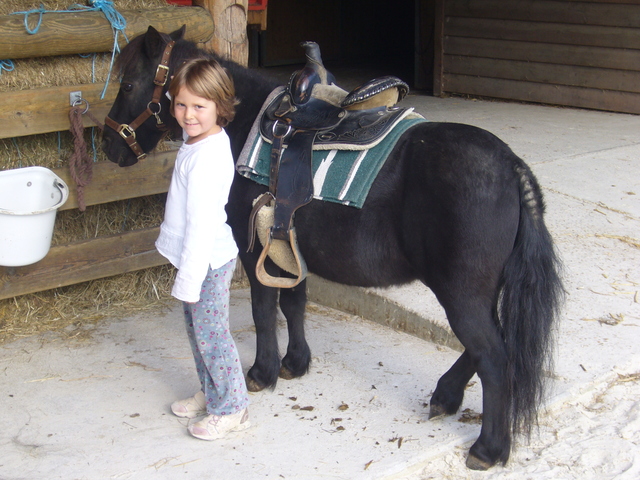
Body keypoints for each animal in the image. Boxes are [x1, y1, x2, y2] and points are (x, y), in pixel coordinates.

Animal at [101, 26, 563, 470]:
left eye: (128, 84)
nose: (108, 145)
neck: (248, 122)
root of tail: (513, 168)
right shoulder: (288, 248)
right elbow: (294, 305)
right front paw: (295, 363)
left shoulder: (255, 252)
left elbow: (265, 310)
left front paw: (262, 372)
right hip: (477, 292)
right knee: (485, 347)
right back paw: (445, 397)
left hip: (462, 292)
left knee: (493, 357)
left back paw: (488, 448)